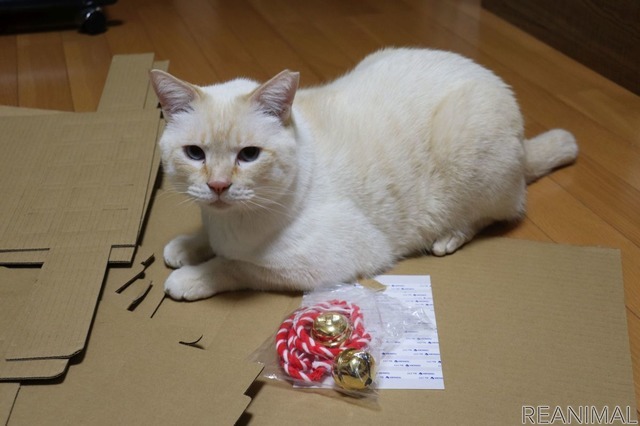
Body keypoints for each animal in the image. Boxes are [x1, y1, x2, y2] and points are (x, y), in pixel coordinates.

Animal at [149, 46, 576, 302]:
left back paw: (447, 238)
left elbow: (237, 265)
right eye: (195, 154)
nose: (219, 186)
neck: (231, 224)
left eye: (249, 155)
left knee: (492, 215)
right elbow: (207, 239)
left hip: (469, 162)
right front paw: (186, 246)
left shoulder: (324, 265)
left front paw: (191, 277)